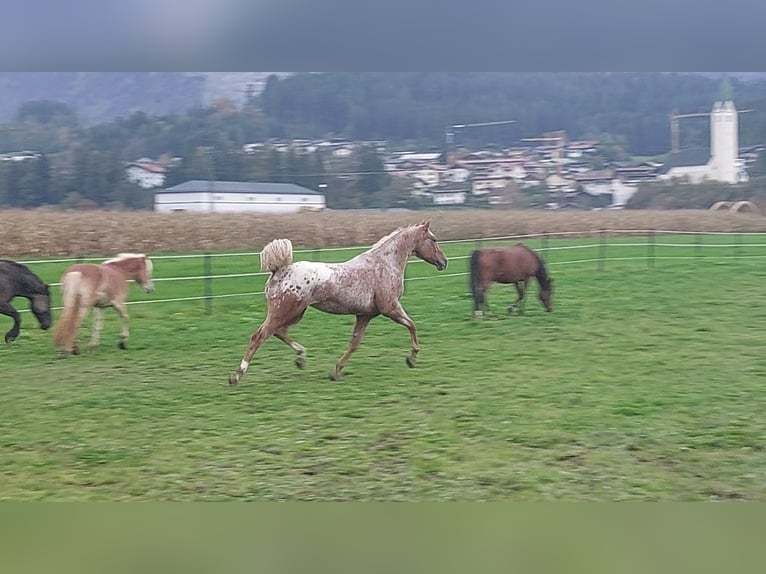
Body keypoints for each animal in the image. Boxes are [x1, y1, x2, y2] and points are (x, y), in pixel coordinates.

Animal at [231, 220, 452, 388]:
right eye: (433, 239)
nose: (444, 262)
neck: (384, 265)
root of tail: (278, 271)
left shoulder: (365, 315)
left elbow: (354, 343)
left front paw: (336, 371)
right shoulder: (390, 308)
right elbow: (412, 325)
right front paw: (411, 358)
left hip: (295, 313)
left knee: (277, 332)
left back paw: (301, 358)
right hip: (284, 312)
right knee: (259, 336)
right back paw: (236, 376)